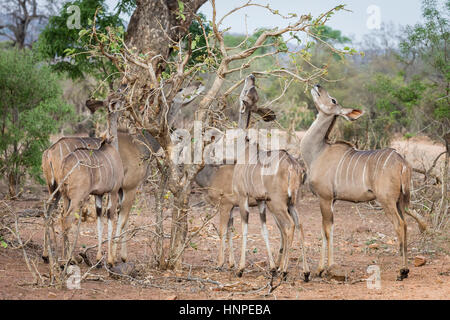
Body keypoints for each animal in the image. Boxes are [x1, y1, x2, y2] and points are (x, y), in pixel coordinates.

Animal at [300, 85, 428, 280]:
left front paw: (327, 268)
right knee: (406, 224)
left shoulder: (325, 197)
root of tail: (403, 163)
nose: (317, 86)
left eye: (333, 100)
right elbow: (325, 229)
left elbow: (327, 230)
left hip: (386, 200)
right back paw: (405, 269)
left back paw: (402, 271)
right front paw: (320, 269)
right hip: (401, 200)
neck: (317, 152)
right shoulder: (331, 200)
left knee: (400, 225)